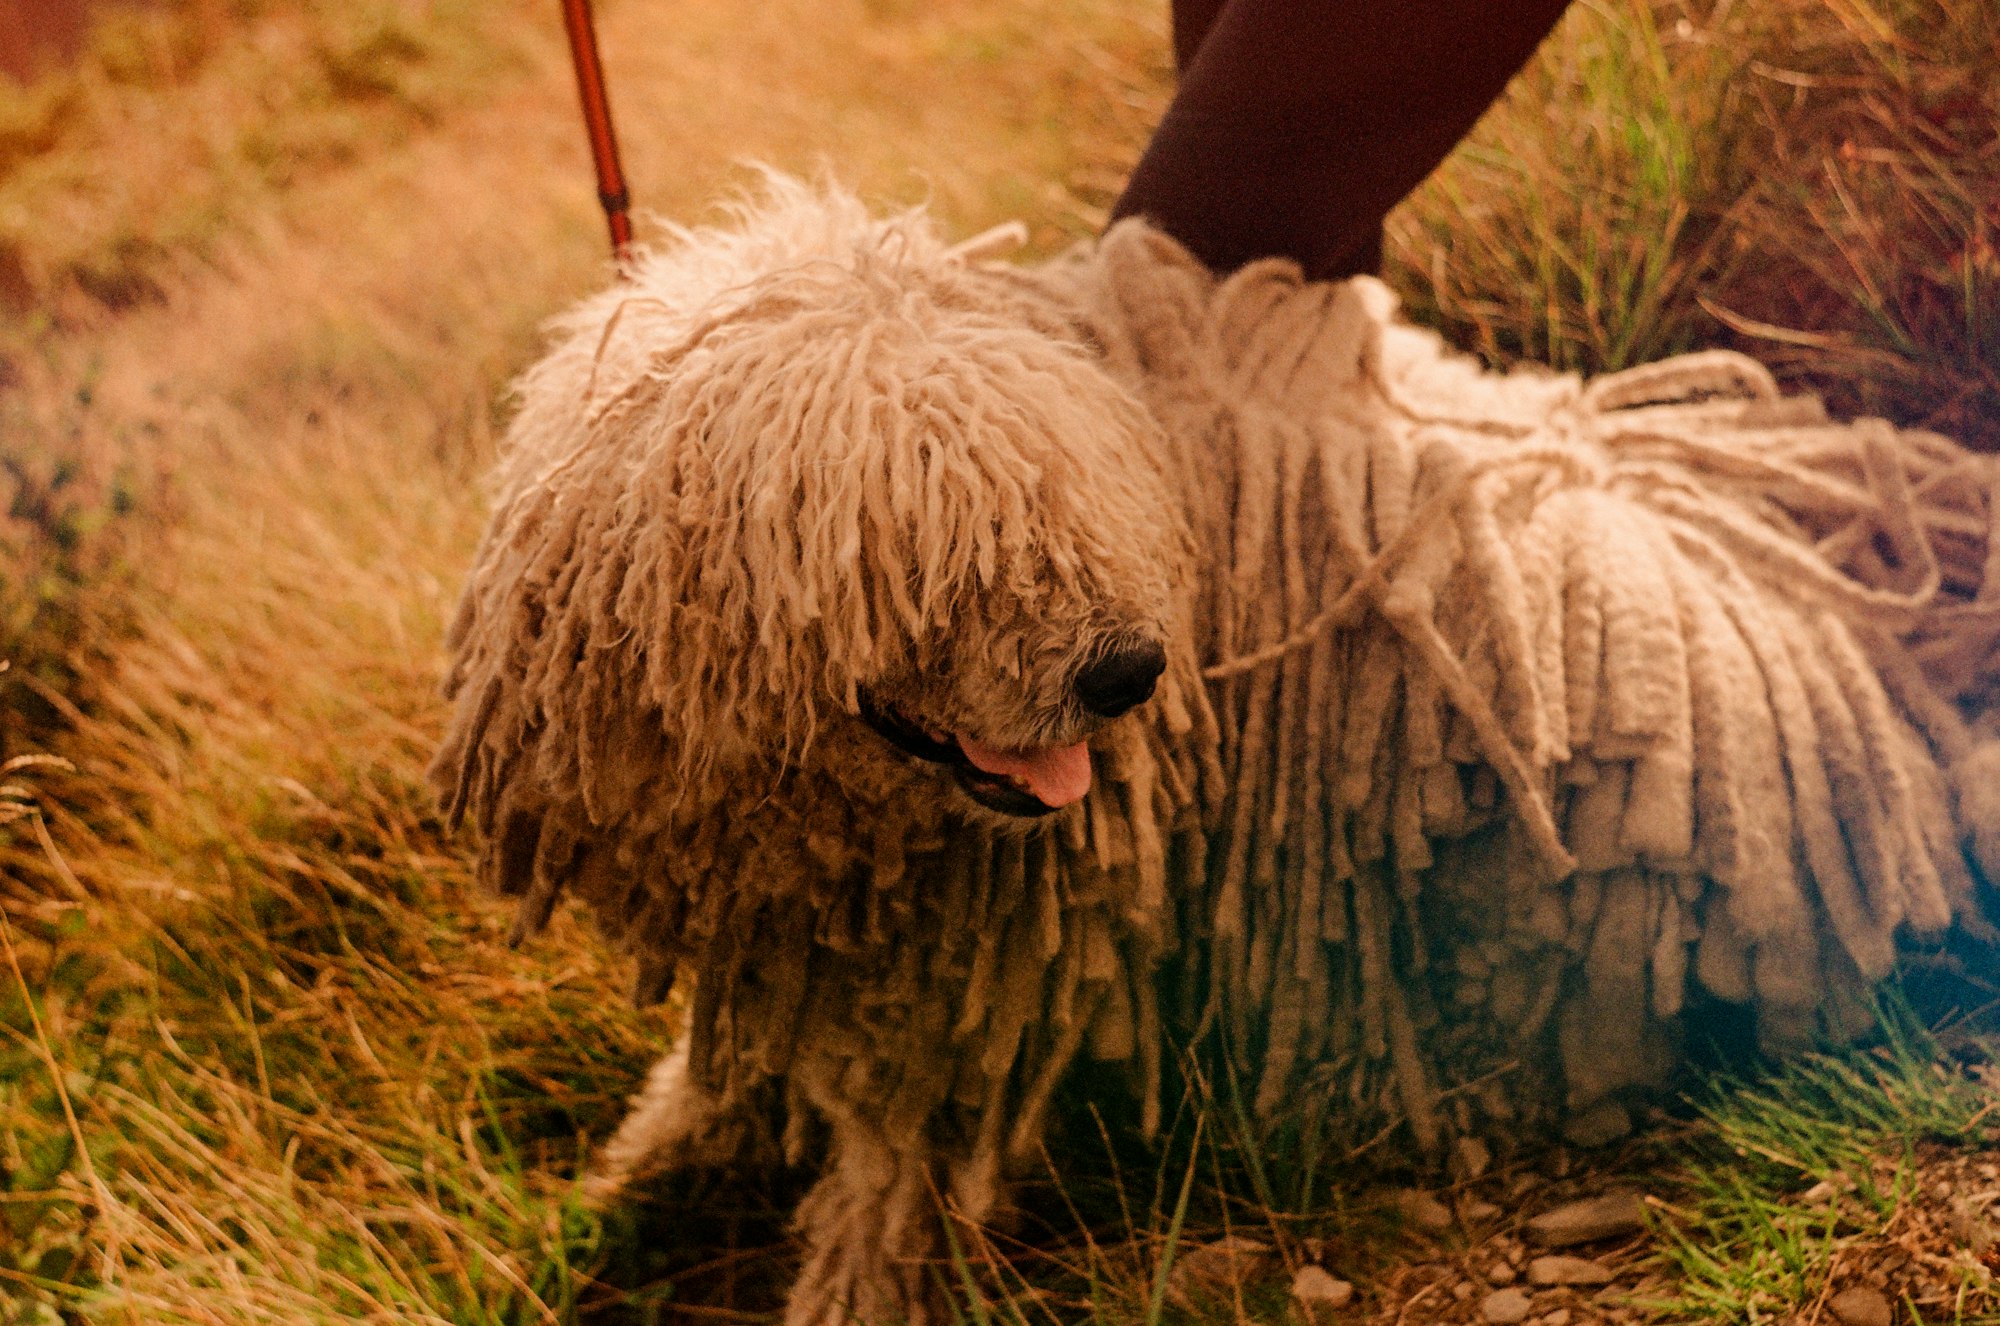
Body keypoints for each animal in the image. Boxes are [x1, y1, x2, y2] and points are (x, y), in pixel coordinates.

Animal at [434, 179, 2000, 1326]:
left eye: (1080, 500)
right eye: (945, 549)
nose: (1127, 670)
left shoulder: (961, 988)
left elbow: (889, 1181)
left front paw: (841, 1282)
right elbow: (715, 1082)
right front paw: (626, 1175)